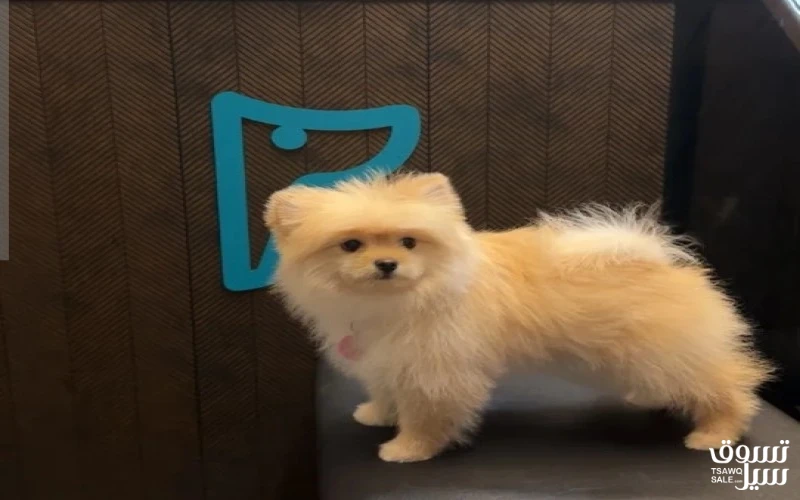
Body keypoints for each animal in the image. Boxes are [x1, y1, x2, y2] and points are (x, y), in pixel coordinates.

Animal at [264, 171, 773, 463]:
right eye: (350, 245)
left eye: (408, 242)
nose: (386, 264)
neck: (401, 300)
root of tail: (654, 257)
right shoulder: (389, 358)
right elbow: (386, 390)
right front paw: (378, 414)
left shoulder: (436, 370)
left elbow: (427, 417)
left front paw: (408, 450)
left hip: (673, 354)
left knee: (730, 387)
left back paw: (715, 434)